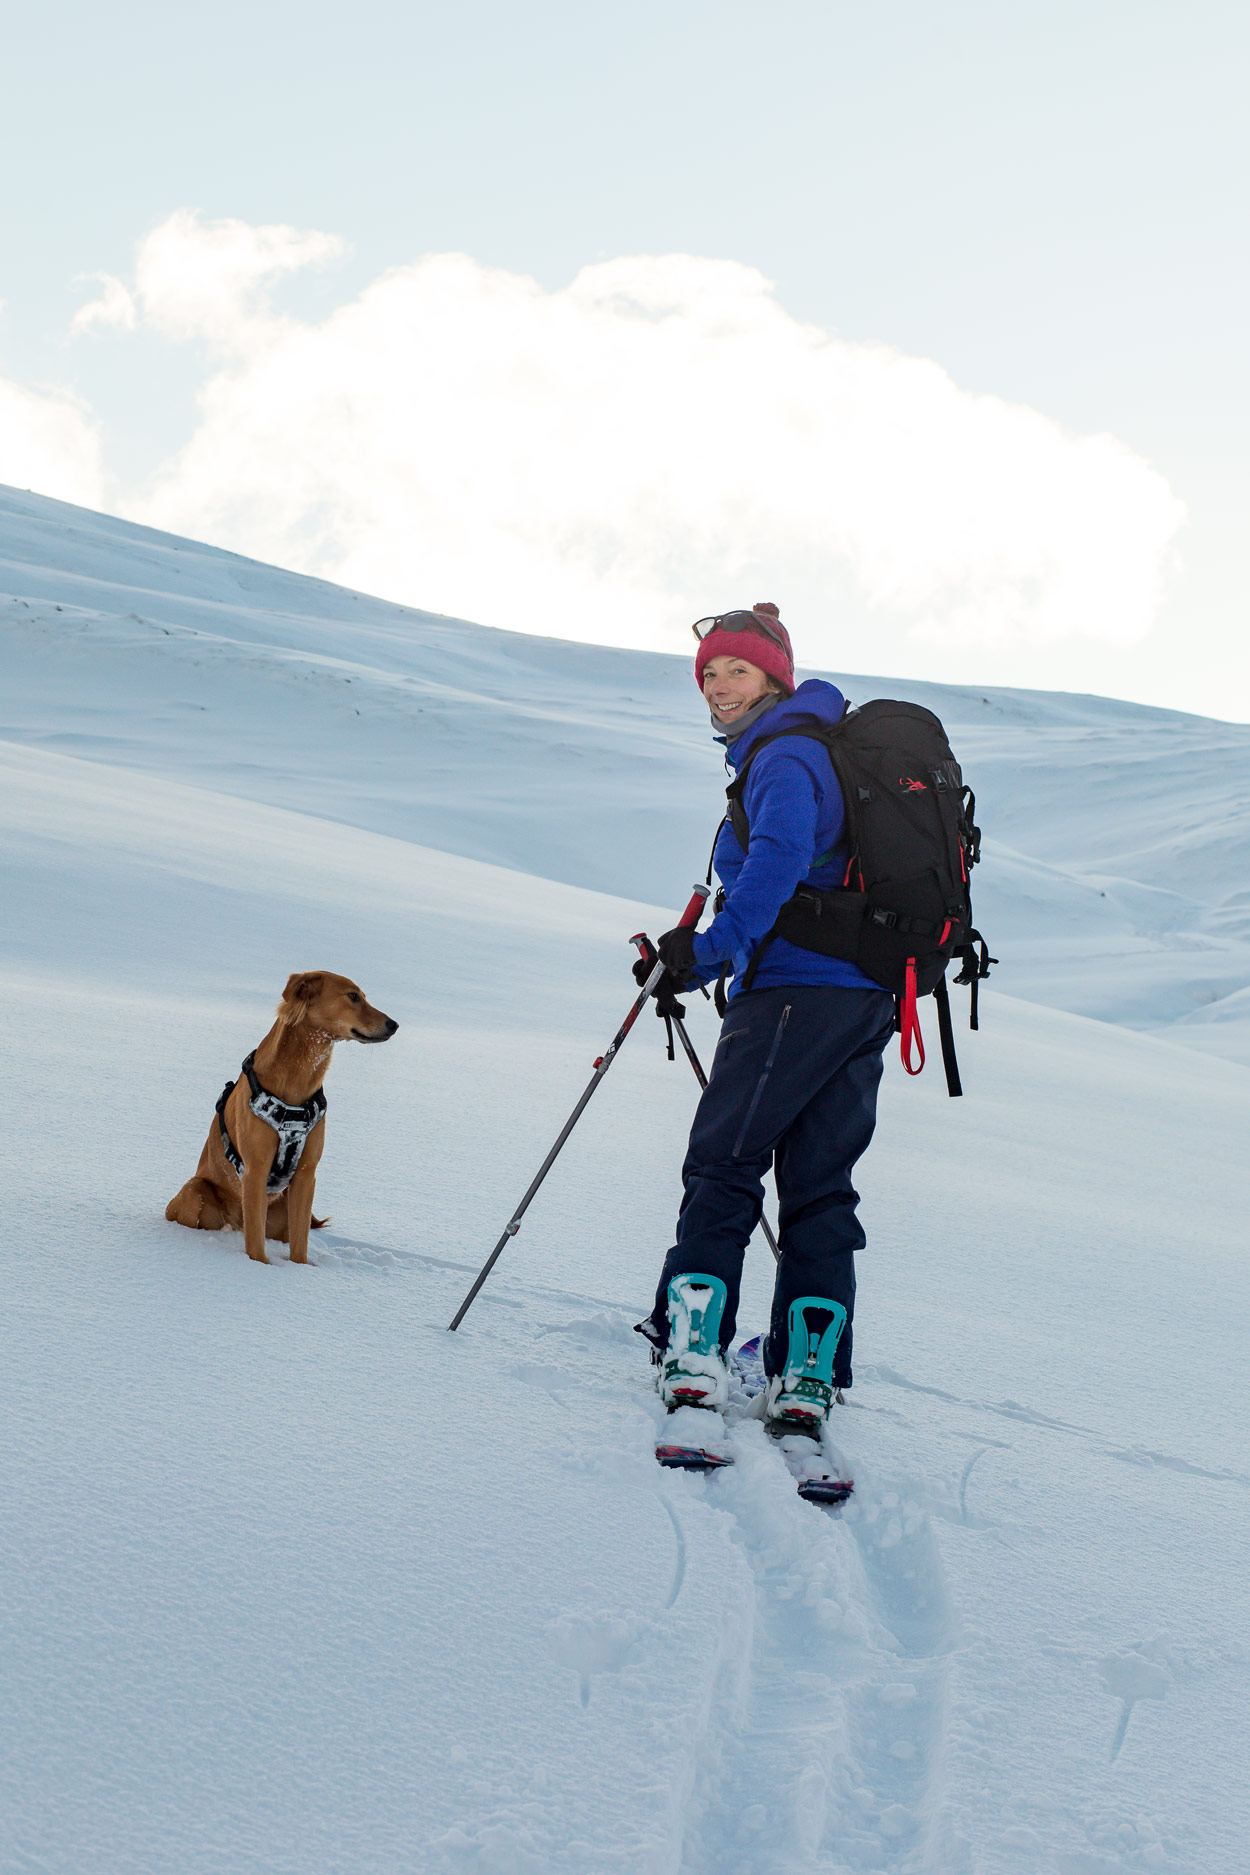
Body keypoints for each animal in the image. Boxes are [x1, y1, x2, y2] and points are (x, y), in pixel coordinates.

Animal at [165, 975, 399, 1267]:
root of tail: (235, 1222)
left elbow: (300, 1247)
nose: (394, 1024)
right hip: (194, 1191)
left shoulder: (306, 1175)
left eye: (363, 996)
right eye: (353, 996)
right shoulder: (255, 1170)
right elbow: (256, 1246)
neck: (297, 1082)